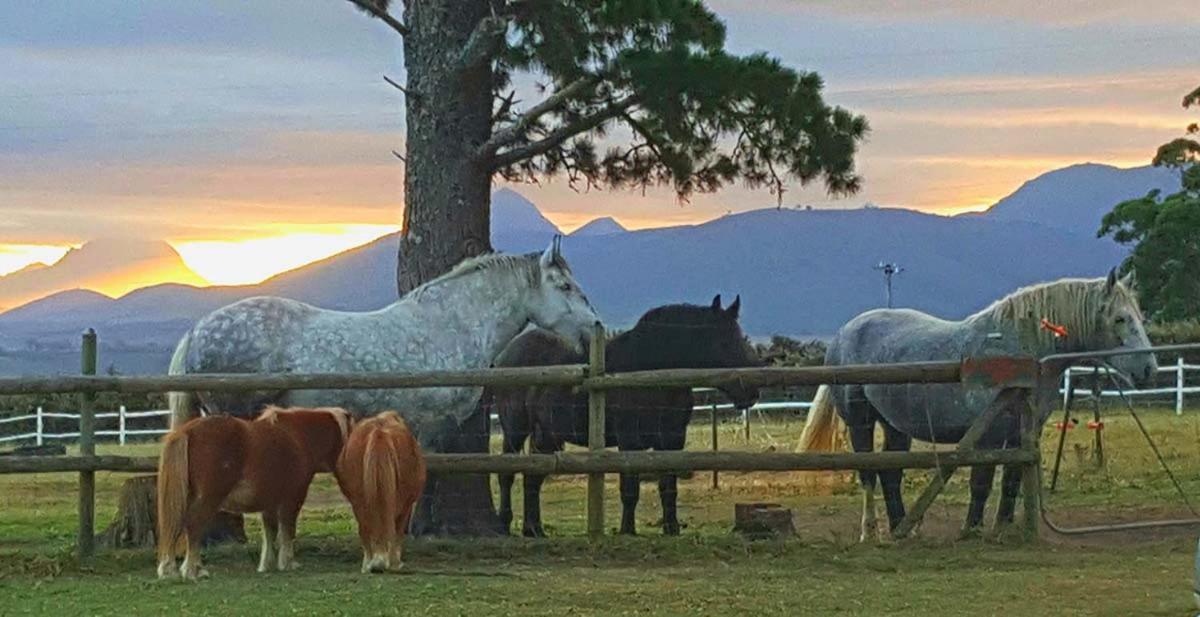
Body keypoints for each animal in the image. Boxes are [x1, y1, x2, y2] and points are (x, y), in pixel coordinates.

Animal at [157, 405, 350, 578]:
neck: (298, 437)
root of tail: (186, 431)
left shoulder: (270, 502)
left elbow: (270, 531)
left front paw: (266, 564)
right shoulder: (292, 499)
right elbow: (287, 530)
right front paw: (287, 562)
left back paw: (172, 569)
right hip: (208, 497)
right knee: (194, 525)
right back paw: (193, 571)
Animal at [338, 408, 427, 571]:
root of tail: (379, 432)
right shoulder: (406, 507)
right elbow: (397, 531)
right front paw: (395, 562)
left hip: (358, 501)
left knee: (365, 527)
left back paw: (371, 563)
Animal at [482, 295, 753, 535]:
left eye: (740, 337)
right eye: (723, 341)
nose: (750, 391)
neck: (652, 375)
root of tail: (505, 357)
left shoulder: (672, 440)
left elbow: (668, 487)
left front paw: (671, 528)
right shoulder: (629, 441)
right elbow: (630, 489)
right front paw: (627, 530)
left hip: (546, 436)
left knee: (533, 479)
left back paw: (534, 529)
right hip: (515, 428)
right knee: (507, 474)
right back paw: (505, 524)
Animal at [796, 270, 1152, 537]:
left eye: (1139, 316)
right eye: (1120, 319)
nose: (1148, 369)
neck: (1019, 353)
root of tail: (843, 334)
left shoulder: (1023, 433)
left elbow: (1011, 480)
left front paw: (1003, 528)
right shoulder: (989, 433)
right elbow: (981, 480)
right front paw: (972, 529)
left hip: (896, 425)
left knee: (890, 473)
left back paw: (902, 528)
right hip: (861, 421)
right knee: (868, 474)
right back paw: (870, 531)